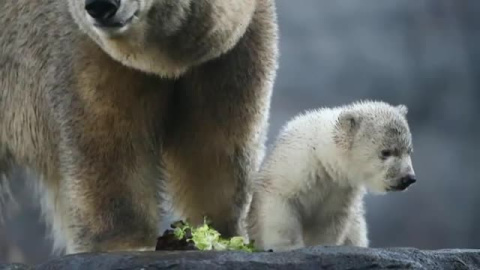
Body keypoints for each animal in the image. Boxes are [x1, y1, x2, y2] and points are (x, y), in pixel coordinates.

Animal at [0, 0, 278, 253]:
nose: (101, 6)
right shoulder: (86, 53)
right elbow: (110, 150)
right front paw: (125, 243)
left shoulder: (230, 56)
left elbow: (217, 150)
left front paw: (221, 233)